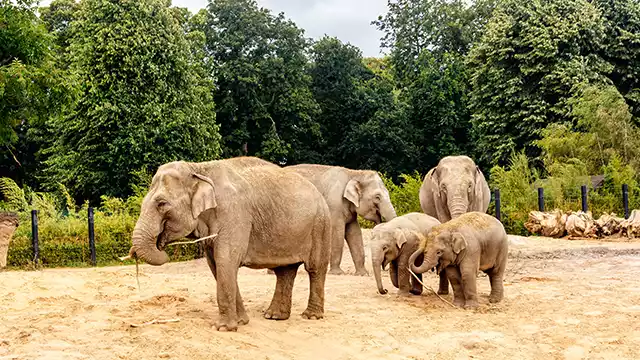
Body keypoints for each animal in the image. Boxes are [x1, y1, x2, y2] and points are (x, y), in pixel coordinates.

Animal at [128, 157, 332, 332]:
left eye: (162, 204)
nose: (133, 253)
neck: (199, 168)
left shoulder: (234, 213)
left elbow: (226, 260)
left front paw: (223, 328)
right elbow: (216, 265)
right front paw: (241, 322)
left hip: (320, 225)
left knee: (315, 269)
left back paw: (311, 316)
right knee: (285, 271)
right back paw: (274, 316)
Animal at [420, 155, 490, 296]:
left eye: (470, 186)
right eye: (443, 187)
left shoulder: (478, 196)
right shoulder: (437, 198)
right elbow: (444, 220)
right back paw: (442, 292)